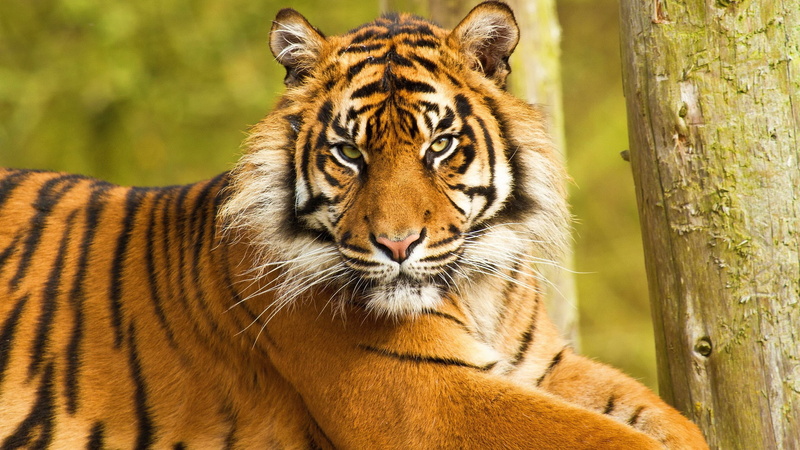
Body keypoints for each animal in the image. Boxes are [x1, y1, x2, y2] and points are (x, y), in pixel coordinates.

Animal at [0, 1, 708, 448]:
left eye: (439, 145)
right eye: (348, 153)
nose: (397, 245)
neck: (479, 287)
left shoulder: (541, 364)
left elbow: (667, 422)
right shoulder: (426, 397)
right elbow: (616, 439)